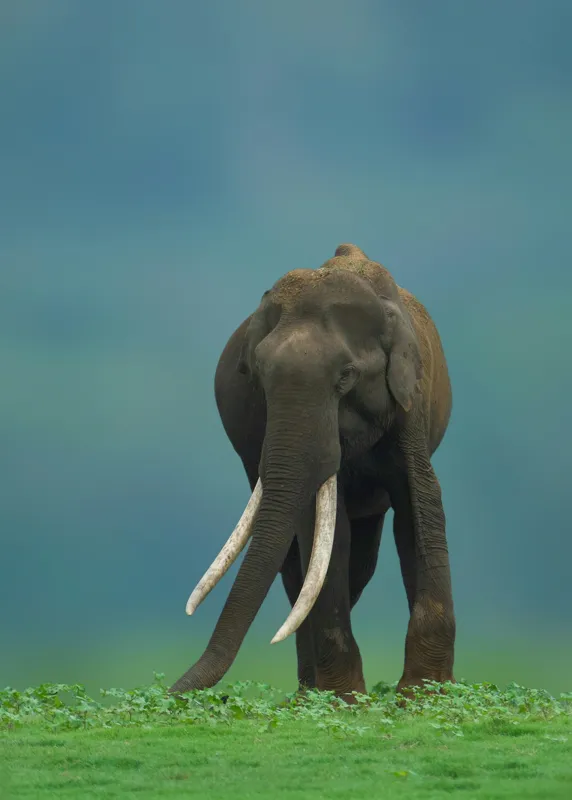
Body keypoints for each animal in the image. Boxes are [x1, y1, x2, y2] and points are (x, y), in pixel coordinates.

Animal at [170, 243, 456, 701]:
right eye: (257, 375)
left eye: (347, 376)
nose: (170, 693)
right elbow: (322, 532)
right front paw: (343, 701)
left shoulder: (411, 401)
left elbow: (420, 504)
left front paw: (422, 695)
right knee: (299, 568)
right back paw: (309, 692)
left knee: (361, 560)